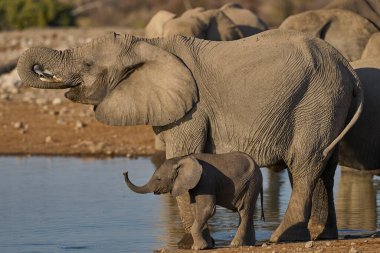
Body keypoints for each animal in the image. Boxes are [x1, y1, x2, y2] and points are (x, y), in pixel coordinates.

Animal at [123, 151, 262, 250]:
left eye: (158, 179)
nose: (125, 172)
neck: (181, 159)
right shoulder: (195, 184)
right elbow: (196, 209)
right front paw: (206, 246)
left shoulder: (206, 181)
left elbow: (208, 209)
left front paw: (197, 248)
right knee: (247, 212)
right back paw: (248, 244)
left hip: (252, 183)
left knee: (244, 211)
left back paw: (235, 245)